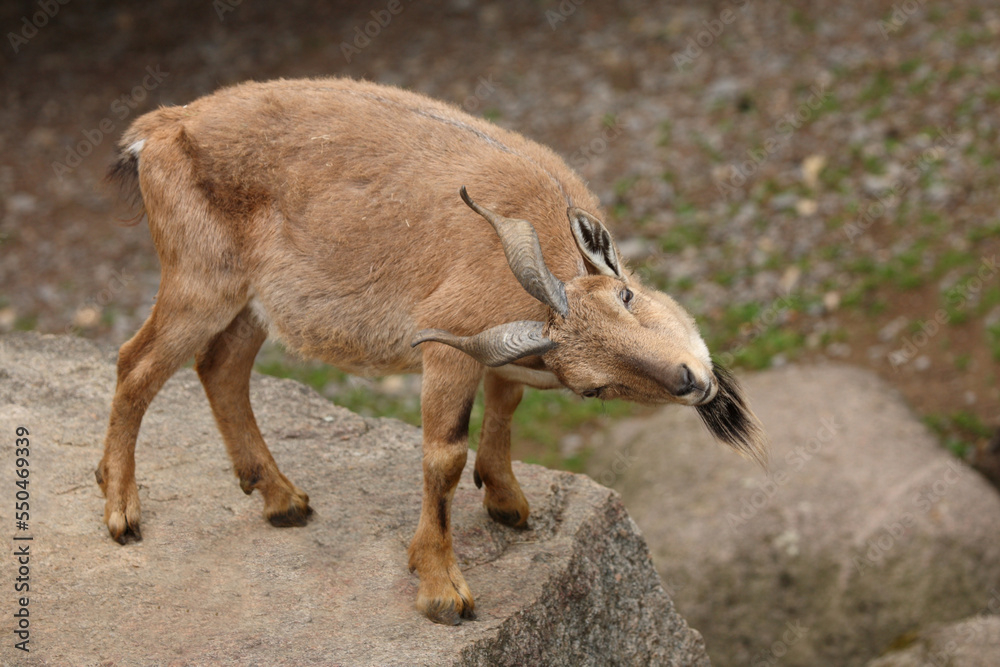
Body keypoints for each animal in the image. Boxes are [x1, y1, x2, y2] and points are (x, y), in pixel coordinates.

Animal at [99, 77, 766, 625]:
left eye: (627, 296)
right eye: (594, 387)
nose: (690, 380)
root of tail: (160, 129)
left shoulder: (501, 353)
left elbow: (505, 404)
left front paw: (507, 503)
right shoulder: (448, 346)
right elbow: (444, 457)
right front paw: (443, 590)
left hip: (250, 304)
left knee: (220, 368)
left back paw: (284, 501)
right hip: (201, 282)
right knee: (137, 363)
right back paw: (122, 512)